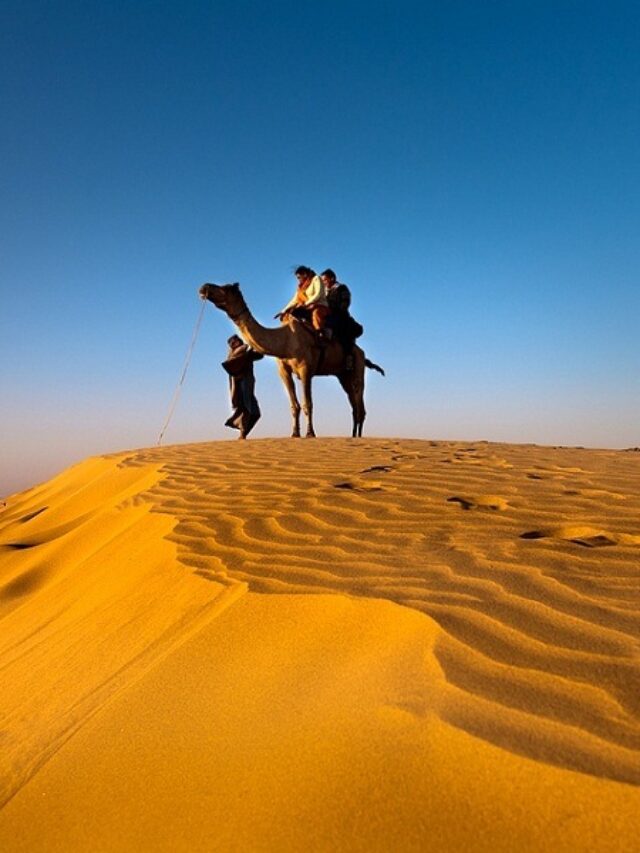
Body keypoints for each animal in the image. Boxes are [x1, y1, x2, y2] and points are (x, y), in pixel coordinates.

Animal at [198, 282, 382, 436]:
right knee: (354, 404)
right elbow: (294, 406)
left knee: (359, 401)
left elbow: (308, 403)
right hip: (343, 376)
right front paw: (294, 433)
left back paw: (358, 437)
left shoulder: (305, 369)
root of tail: (363, 354)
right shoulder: (283, 371)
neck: (285, 341)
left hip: (357, 369)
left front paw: (310, 433)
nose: (204, 287)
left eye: (225, 288)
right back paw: (353, 435)